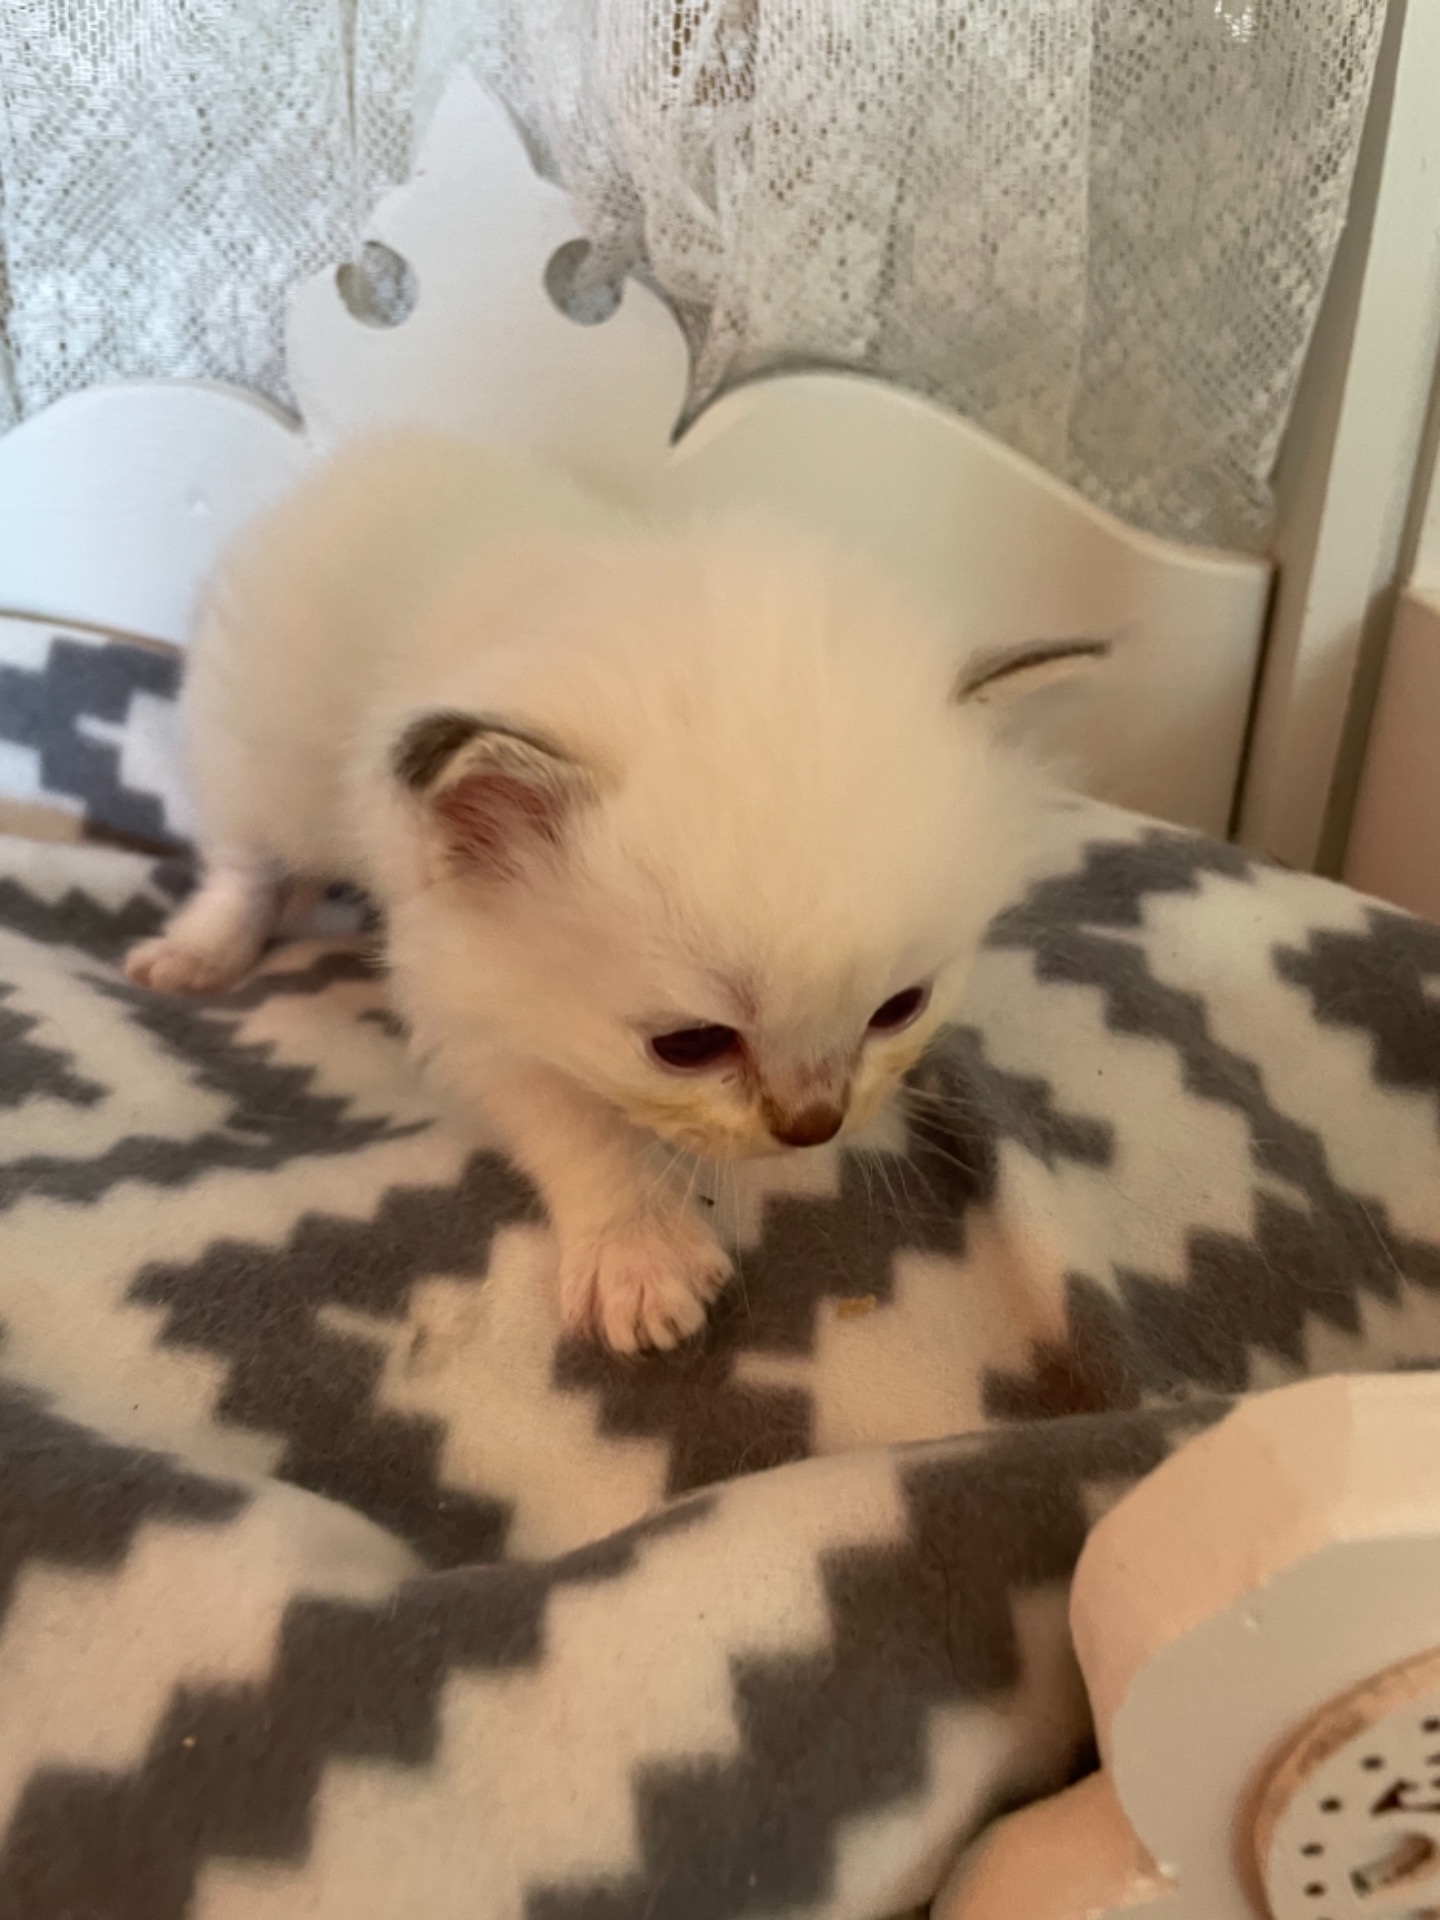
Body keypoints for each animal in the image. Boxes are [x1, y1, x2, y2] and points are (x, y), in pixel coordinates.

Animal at [126, 429, 1103, 1351]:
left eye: (899, 1008)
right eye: (690, 1046)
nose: (813, 1125)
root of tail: (366, 455)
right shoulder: (462, 987)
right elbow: (573, 1121)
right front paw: (636, 1252)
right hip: (252, 747)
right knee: (245, 856)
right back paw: (201, 951)